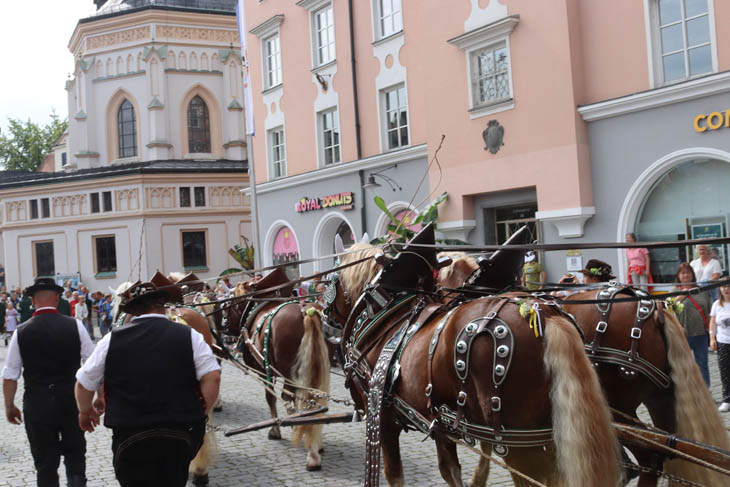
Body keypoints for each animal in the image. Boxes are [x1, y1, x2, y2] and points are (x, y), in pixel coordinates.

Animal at [223, 272, 332, 470]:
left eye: (230, 302)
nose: (224, 326)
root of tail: (307, 312)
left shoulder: (264, 370)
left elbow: (271, 397)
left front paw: (276, 430)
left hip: (289, 372)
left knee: (293, 399)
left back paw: (311, 454)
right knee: (313, 400)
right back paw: (315, 445)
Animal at [328, 243, 620, 487]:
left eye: (332, 279)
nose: (324, 314)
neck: (387, 314)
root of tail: (543, 313)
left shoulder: (382, 419)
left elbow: (394, 475)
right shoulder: (439, 422)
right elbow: (450, 470)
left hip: (520, 443)